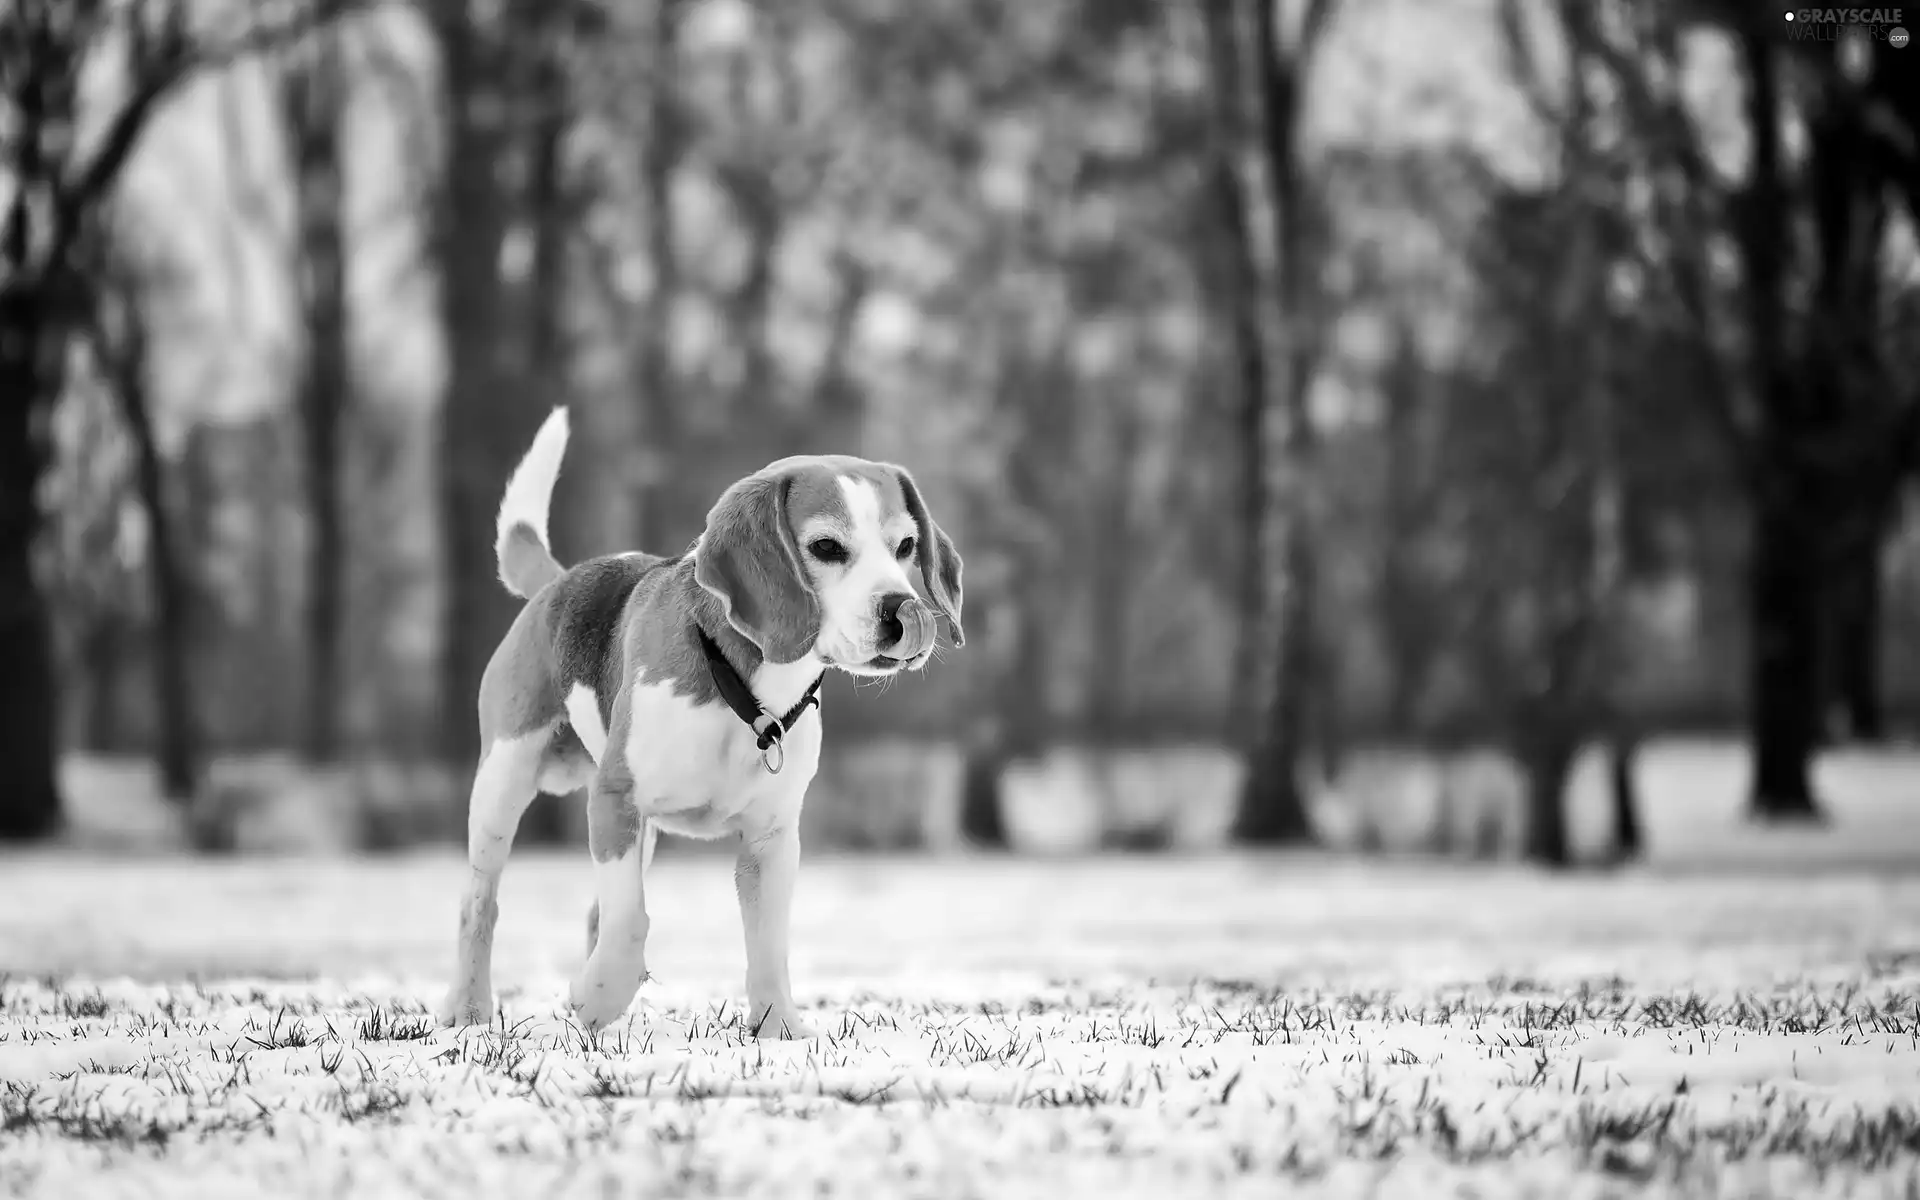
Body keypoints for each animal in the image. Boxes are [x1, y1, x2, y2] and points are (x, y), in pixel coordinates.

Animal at [441, 407, 967, 1036]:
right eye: (826, 547)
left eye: (906, 545)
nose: (900, 610)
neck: (744, 690)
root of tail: (556, 583)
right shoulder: (615, 799)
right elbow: (631, 924)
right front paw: (595, 997)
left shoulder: (772, 840)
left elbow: (767, 947)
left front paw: (779, 1030)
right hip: (505, 782)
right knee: (481, 901)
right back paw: (471, 1008)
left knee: (596, 911)